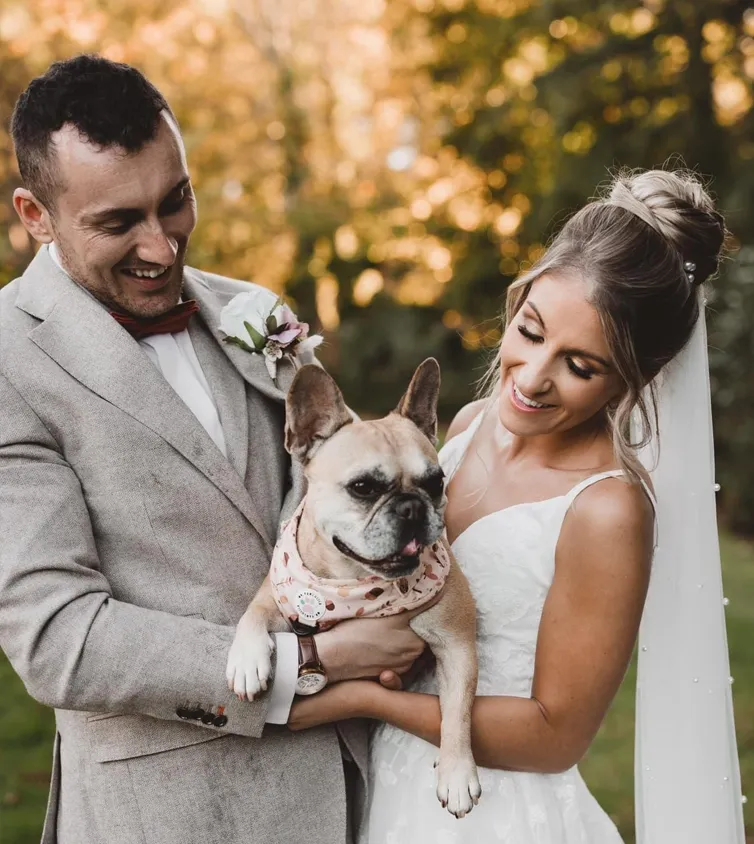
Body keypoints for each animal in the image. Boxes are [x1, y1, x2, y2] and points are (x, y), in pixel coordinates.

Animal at [226, 358, 478, 816]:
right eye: (363, 487)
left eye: (435, 482)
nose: (412, 507)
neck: (354, 586)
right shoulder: (277, 593)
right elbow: (253, 614)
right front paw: (248, 660)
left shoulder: (457, 644)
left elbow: (457, 710)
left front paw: (457, 774)